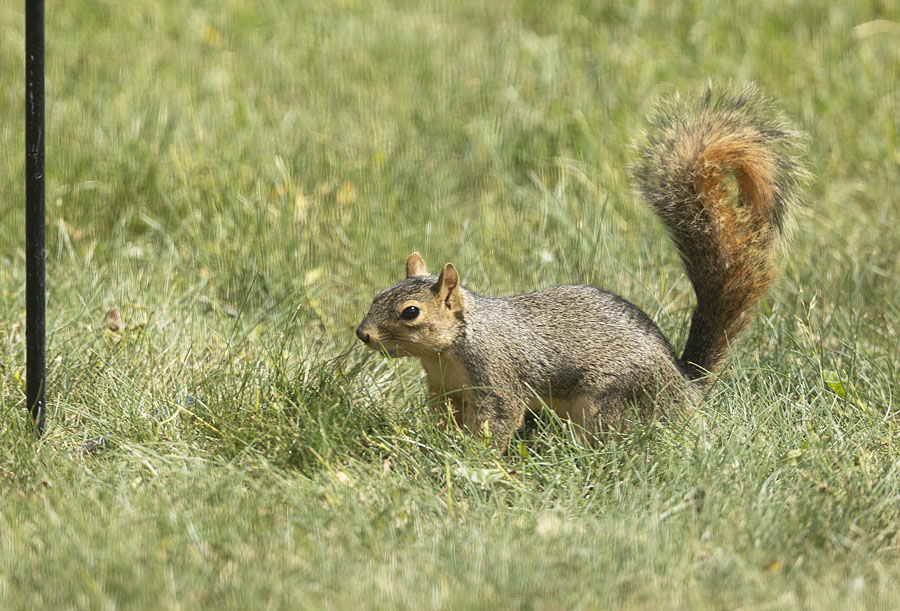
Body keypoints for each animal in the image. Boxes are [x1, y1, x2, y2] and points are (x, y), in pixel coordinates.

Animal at [354, 85, 808, 450]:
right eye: (377, 296)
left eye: (410, 312)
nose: (363, 334)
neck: (451, 348)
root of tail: (684, 387)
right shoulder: (443, 389)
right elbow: (444, 419)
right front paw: (436, 445)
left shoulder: (497, 377)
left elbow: (499, 420)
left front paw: (473, 457)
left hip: (607, 402)